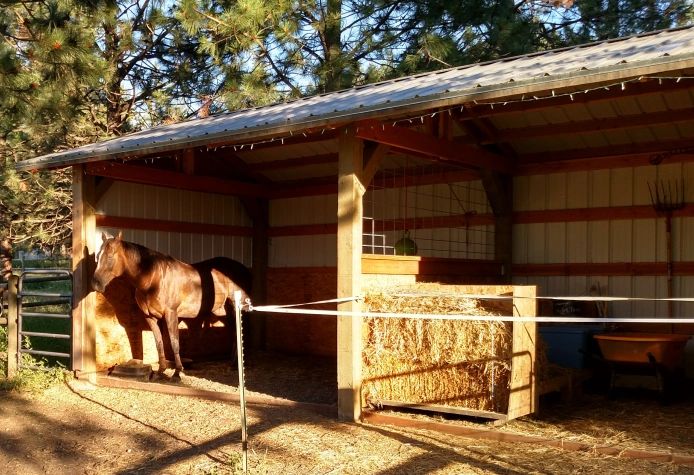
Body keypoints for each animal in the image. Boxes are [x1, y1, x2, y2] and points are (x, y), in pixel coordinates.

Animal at [92, 232, 253, 382]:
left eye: (110, 257)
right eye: (97, 256)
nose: (96, 284)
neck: (153, 278)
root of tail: (244, 269)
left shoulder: (171, 314)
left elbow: (175, 343)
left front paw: (177, 373)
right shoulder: (150, 317)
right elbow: (159, 343)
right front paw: (160, 372)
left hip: (237, 307)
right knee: (234, 331)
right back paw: (233, 364)